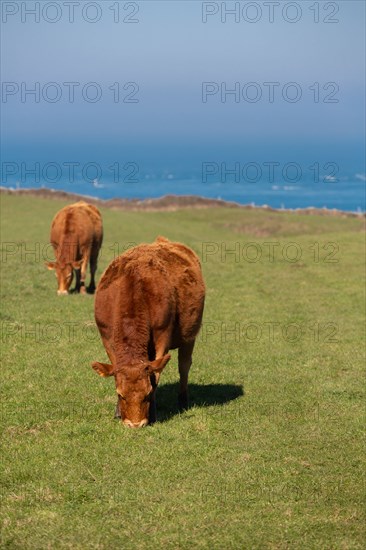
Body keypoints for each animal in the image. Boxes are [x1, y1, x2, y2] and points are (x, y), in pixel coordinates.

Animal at [92, 235, 206, 430]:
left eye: (147, 394)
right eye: (121, 395)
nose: (135, 424)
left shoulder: (162, 337)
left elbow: (156, 376)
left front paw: (152, 413)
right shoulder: (106, 337)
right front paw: (118, 412)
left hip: (189, 335)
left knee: (184, 365)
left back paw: (183, 400)